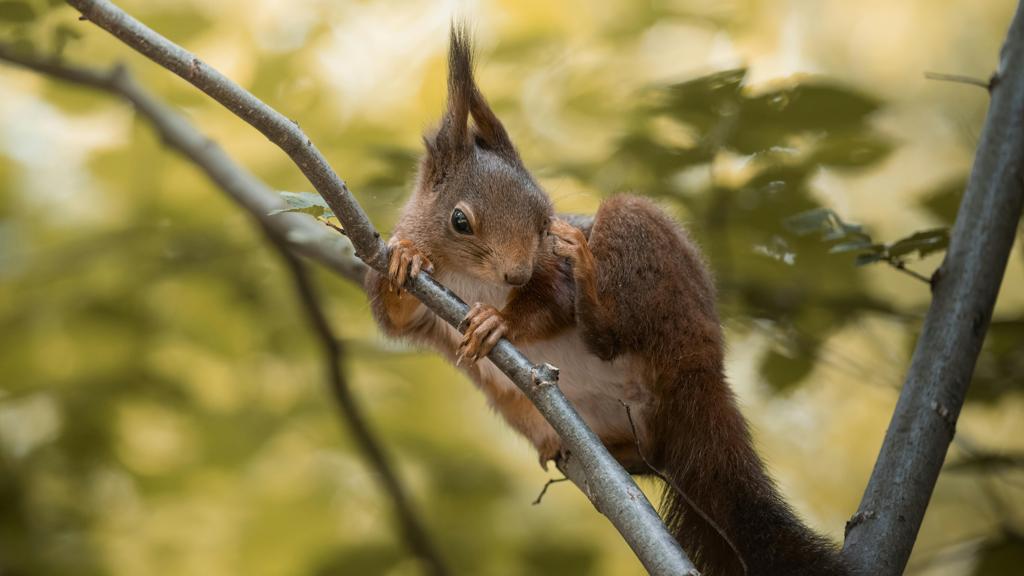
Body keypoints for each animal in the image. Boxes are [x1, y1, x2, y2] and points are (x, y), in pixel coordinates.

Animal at [366, 26, 847, 573]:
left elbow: (549, 303)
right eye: (459, 221)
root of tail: (701, 371)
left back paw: (593, 297)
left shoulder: (550, 269)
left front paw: (498, 321)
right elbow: (395, 317)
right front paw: (406, 258)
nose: (517, 271)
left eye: (544, 220)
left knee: (613, 335)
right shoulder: (419, 307)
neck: (471, 278)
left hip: (650, 264)